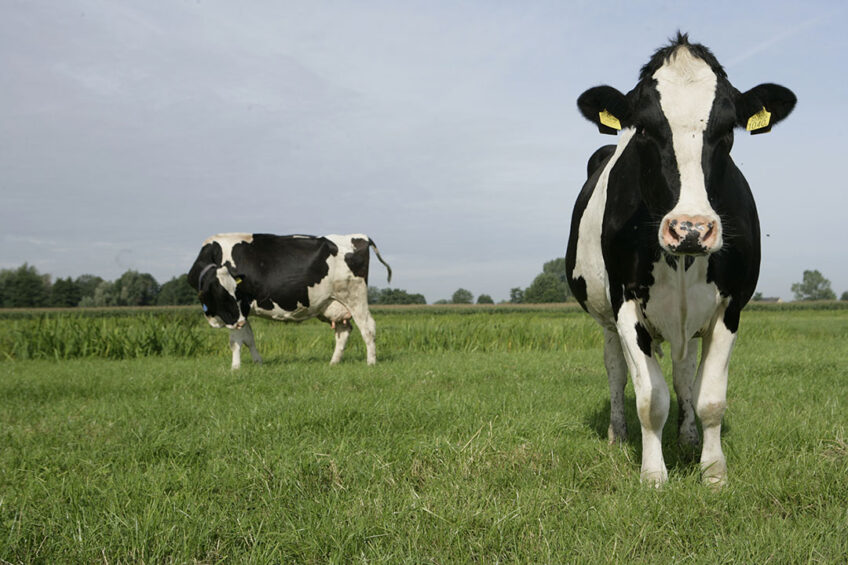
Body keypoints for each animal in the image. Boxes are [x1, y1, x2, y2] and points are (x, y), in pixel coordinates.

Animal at [187, 232, 392, 366]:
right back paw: (333, 362)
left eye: (235, 292)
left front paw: (235, 368)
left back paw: (371, 362)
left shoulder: (239, 309)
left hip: (355, 297)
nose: (237, 321)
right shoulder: (241, 312)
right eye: (220, 293)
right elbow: (249, 338)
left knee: (368, 328)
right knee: (343, 331)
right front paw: (257, 362)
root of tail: (360, 236)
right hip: (332, 303)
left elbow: (236, 340)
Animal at [564, 33, 796, 484]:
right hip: (605, 317)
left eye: (727, 129)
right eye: (644, 129)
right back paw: (617, 435)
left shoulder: (729, 306)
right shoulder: (625, 302)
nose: (690, 228)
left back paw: (687, 436)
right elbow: (650, 398)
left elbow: (709, 397)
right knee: (616, 371)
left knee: (684, 373)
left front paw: (713, 472)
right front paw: (653, 475)